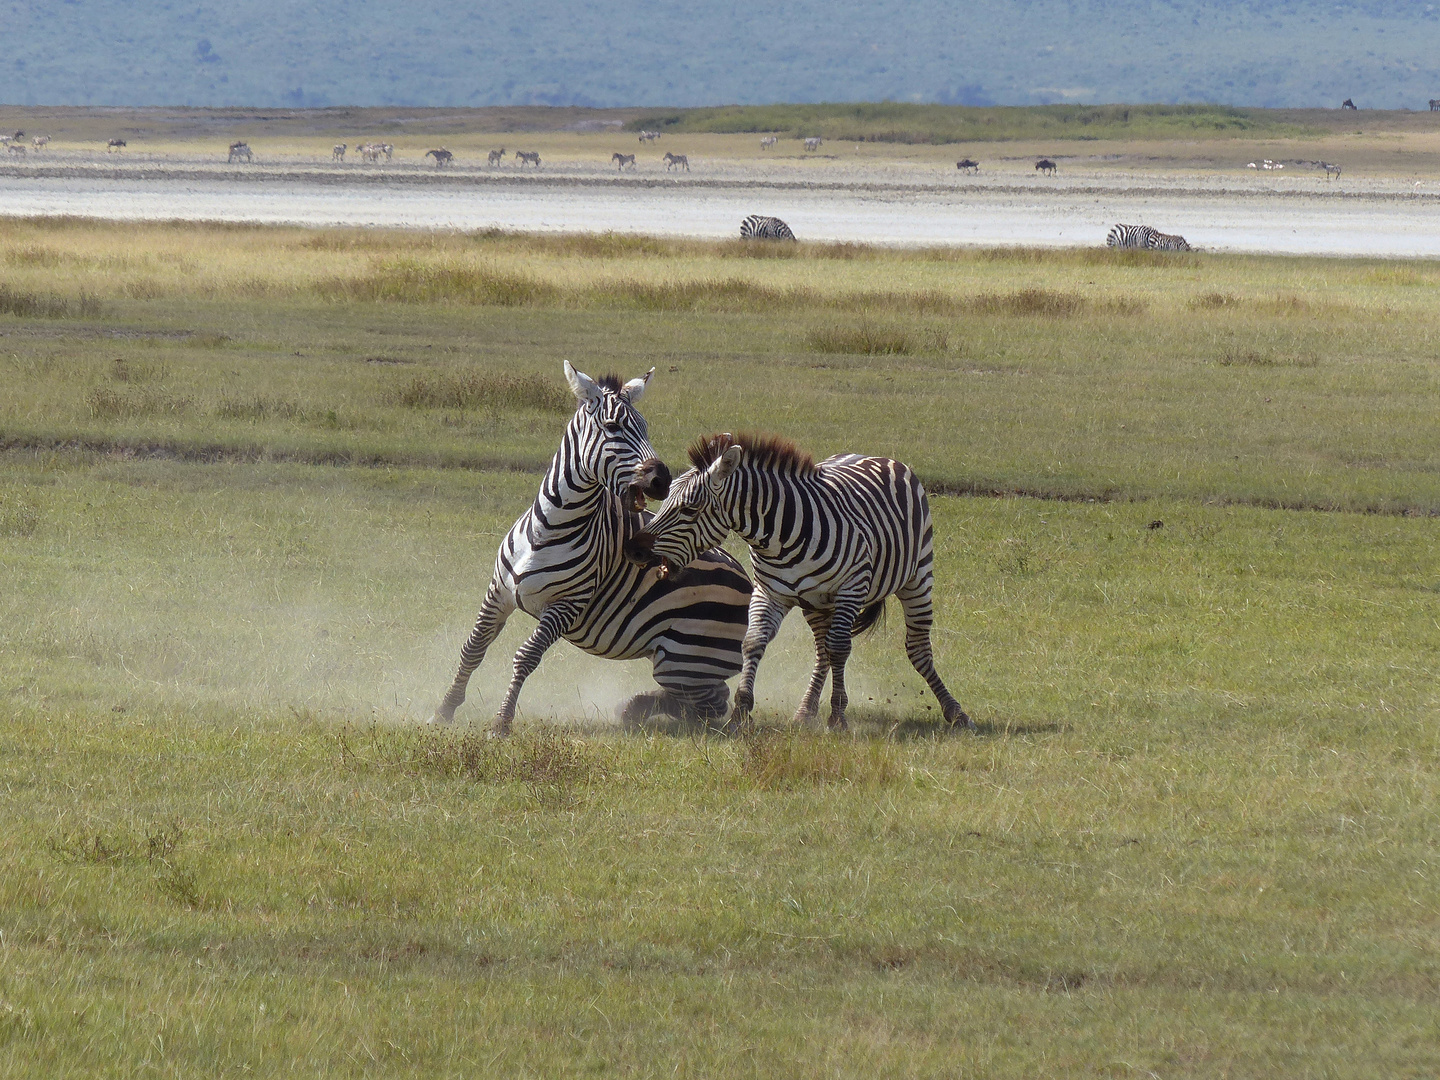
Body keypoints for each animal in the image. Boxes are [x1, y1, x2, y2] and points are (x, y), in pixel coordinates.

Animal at [429, 364, 754, 737]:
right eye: (613, 427)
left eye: (646, 427)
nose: (662, 481)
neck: (549, 529)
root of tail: (748, 582)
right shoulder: (499, 591)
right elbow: (473, 648)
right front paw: (444, 710)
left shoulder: (566, 606)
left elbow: (526, 657)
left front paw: (502, 721)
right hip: (681, 662)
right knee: (711, 696)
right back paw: (635, 708)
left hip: (682, 658)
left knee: (713, 702)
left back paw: (636, 708)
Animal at [627, 432, 973, 737]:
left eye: (689, 509)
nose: (635, 550)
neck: (779, 538)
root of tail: (879, 457)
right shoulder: (769, 592)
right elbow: (752, 643)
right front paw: (740, 714)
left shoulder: (851, 588)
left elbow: (841, 647)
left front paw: (838, 717)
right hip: (816, 603)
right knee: (822, 651)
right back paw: (805, 710)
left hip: (917, 579)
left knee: (914, 648)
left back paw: (955, 712)